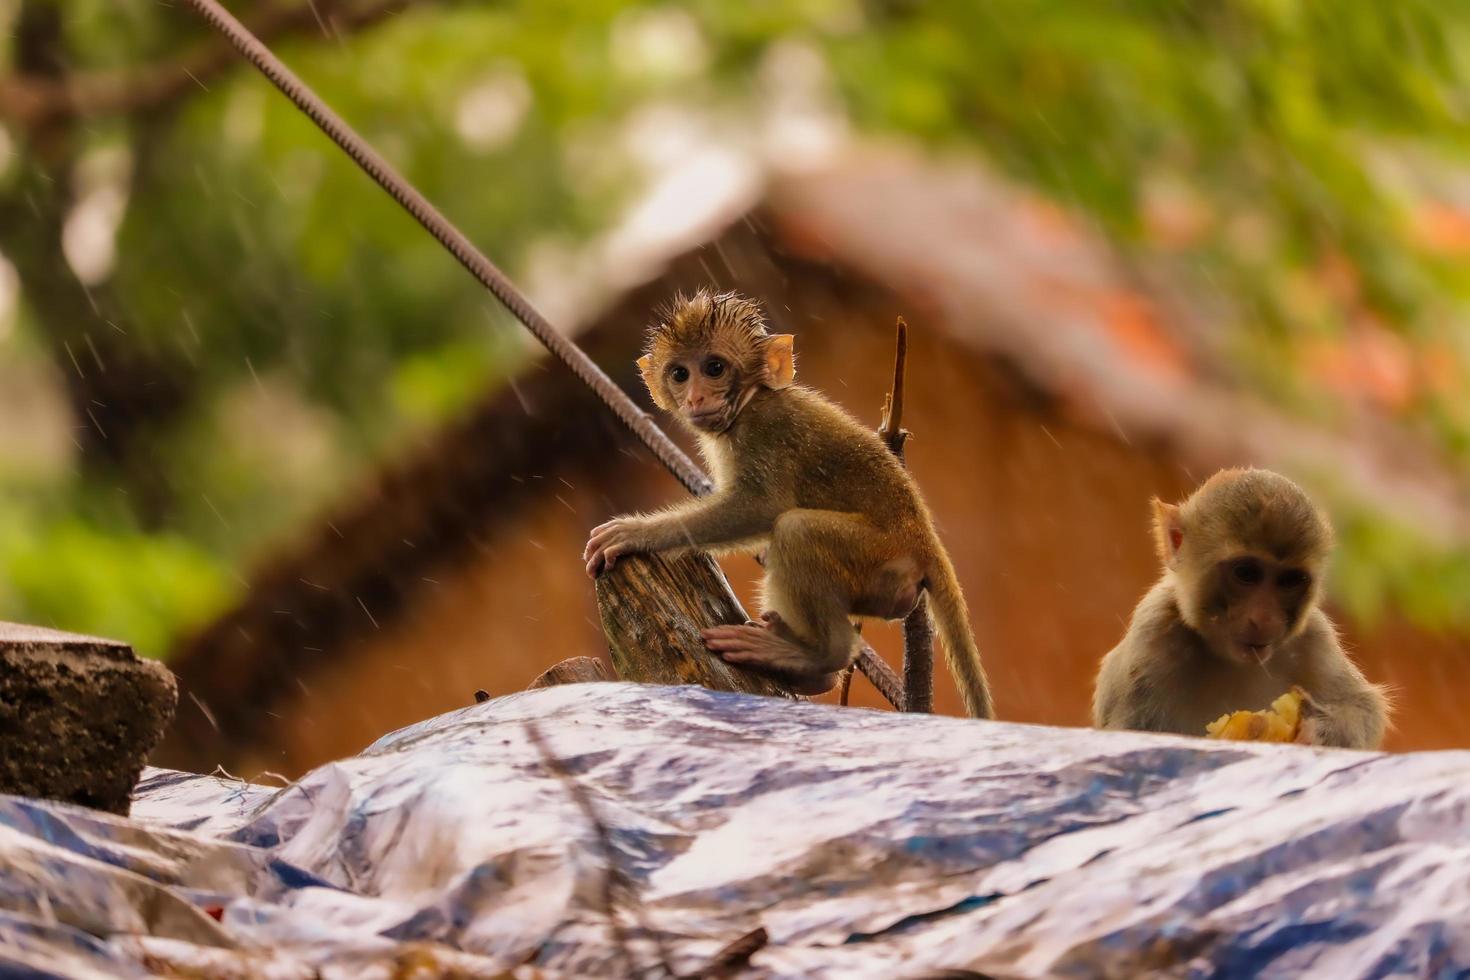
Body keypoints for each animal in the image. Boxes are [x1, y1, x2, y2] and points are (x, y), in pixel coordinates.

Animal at [579, 287, 993, 717]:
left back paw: (820, 657)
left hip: (879, 557)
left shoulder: (764, 432)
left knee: (797, 530)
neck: (749, 402)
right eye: (680, 374)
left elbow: (762, 507)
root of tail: (924, 542)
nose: (696, 396)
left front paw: (634, 533)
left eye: (714, 368)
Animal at [1093, 467, 1387, 752]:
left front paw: (1319, 729)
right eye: (1246, 573)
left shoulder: (1315, 637)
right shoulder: (1153, 632)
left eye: (1290, 580)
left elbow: (1364, 706)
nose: (1265, 619)